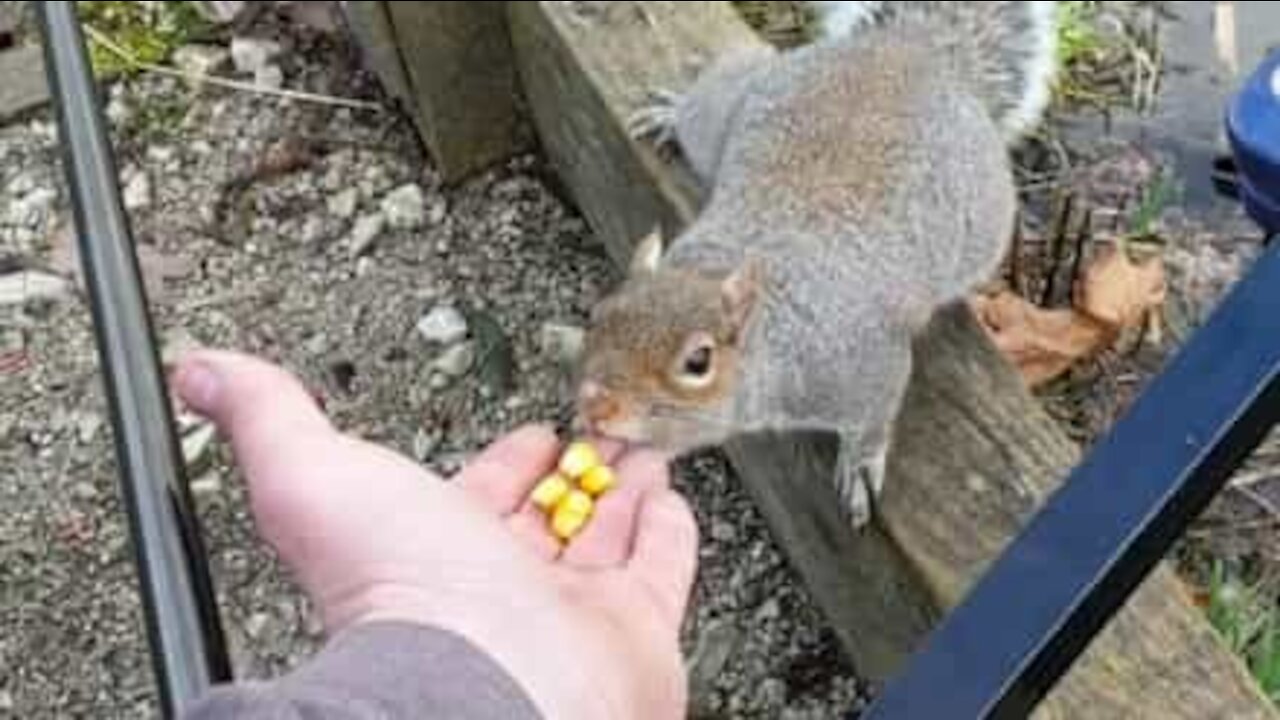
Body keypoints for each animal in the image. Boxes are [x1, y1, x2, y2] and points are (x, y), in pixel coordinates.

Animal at [576, 1, 1054, 527]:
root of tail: (907, 50)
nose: (595, 406)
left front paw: (861, 464)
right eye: (597, 315)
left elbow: (874, 417)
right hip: (730, 103)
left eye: (698, 362)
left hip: (984, 229)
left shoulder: (869, 364)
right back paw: (670, 113)